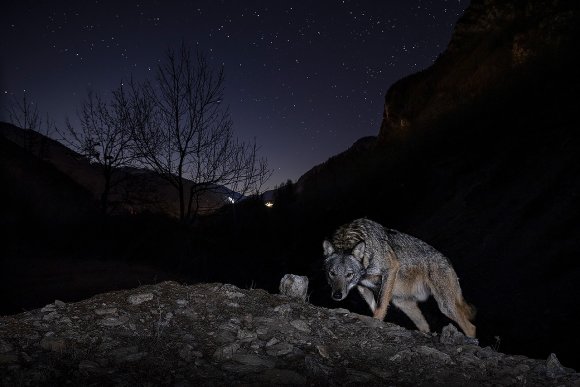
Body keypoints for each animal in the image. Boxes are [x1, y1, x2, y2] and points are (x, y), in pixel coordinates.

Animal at [322, 220, 476, 338]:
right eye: (332, 273)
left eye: (349, 274)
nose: (337, 295)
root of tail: (447, 260)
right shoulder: (362, 286)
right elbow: (374, 305)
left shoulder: (391, 269)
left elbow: (380, 305)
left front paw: (376, 321)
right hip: (403, 303)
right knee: (425, 326)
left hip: (445, 306)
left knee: (471, 327)